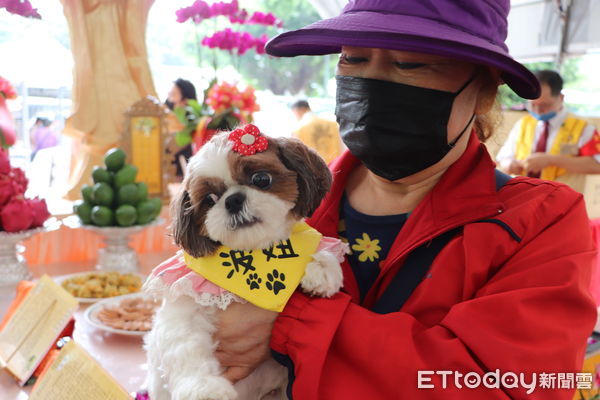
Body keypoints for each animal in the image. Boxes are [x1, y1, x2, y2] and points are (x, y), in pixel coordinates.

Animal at [143, 126, 346, 400]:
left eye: (261, 179)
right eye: (209, 199)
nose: (233, 201)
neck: (254, 253)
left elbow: (321, 248)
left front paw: (322, 268)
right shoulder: (185, 305)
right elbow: (186, 348)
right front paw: (205, 388)